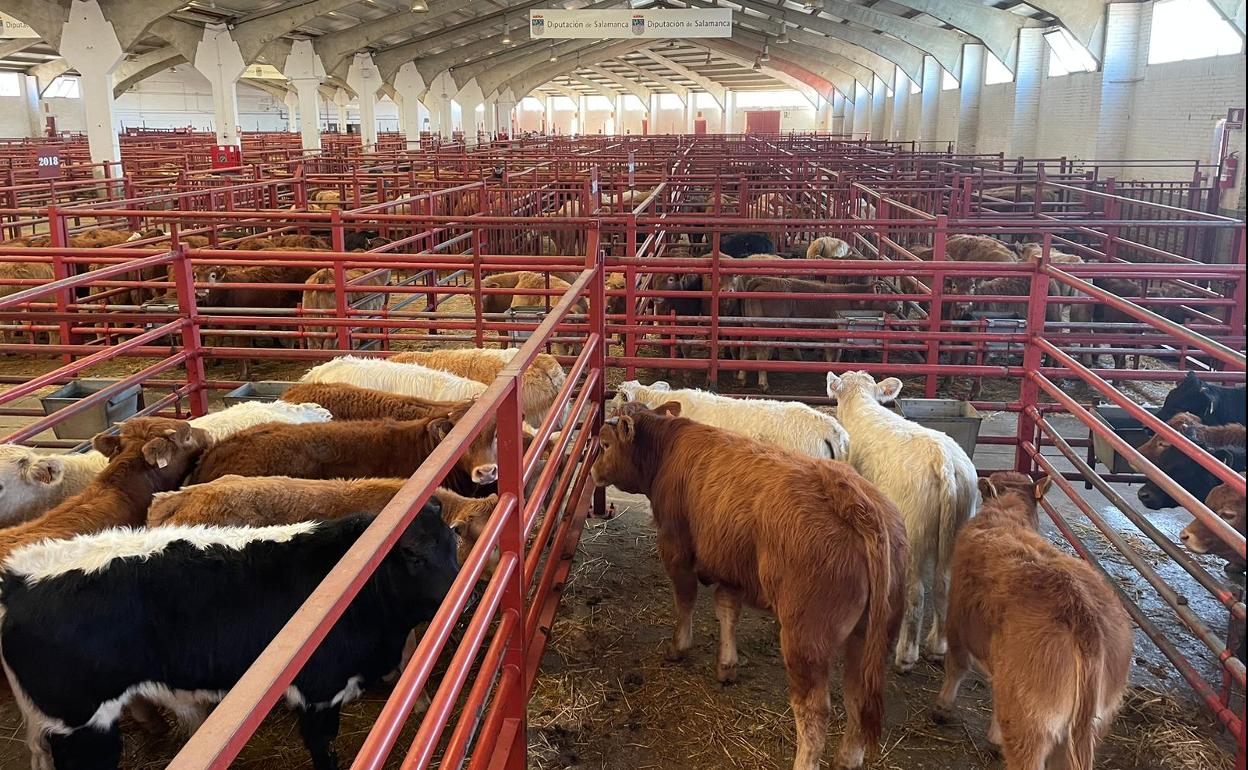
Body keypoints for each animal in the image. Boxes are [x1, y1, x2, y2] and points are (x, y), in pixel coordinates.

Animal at [0, 504, 459, 768]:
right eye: (412, 555)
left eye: (453, 537)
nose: (461, 589)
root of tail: (21, 577)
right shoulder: (319, 690)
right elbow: (322, 746)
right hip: (81, 723)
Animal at [589, 401, 903, 768]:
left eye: (605, 444)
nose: (592, 471)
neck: (668, 449)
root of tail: (851, 496)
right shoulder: (732, 566)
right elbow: (727, 609)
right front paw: (727, 665)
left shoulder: (676, 547)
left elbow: (685, 600)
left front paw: (678, 647)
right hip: (870, 637)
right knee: (857, 698)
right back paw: (848, 758)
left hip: (806, 638)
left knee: (814, 711)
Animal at [823, 369, 978, 668]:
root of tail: (944, 462)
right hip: (958, 528)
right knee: (944, 586)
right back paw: (938, 645)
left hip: (914, 534)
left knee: (916, 594)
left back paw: (906, 654)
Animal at [938, 471, 1133, 763]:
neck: (1008, 517)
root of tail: (1081, 614)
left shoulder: (957, 621)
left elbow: (956, 665)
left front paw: (943, 707)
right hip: (1092, 726)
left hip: (1031, 721)